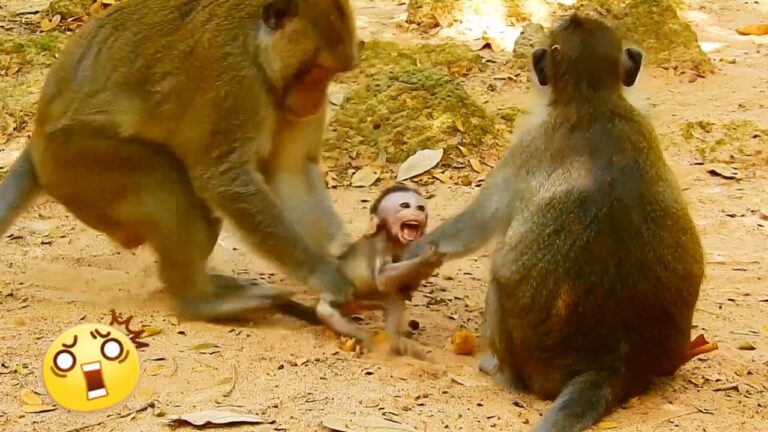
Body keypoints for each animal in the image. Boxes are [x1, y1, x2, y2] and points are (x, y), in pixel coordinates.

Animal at [0, 0, 361, 320]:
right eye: (316, 72)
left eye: (331, 74)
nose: (316, 102)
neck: (256, 48)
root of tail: (37, 137)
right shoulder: (233, 80)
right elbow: (224, 178)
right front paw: (326, 276)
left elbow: (292, 170)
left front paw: (348, 253)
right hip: (76, 163)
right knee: (168, 182)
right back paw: (199, 301)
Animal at [402, 14, 705, 432]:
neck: (591, 100)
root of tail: (611, 364)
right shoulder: (645, 126)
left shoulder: (529, 140)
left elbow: (474, 226)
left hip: (528, 362)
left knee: (498, 278)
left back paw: (494, 366)